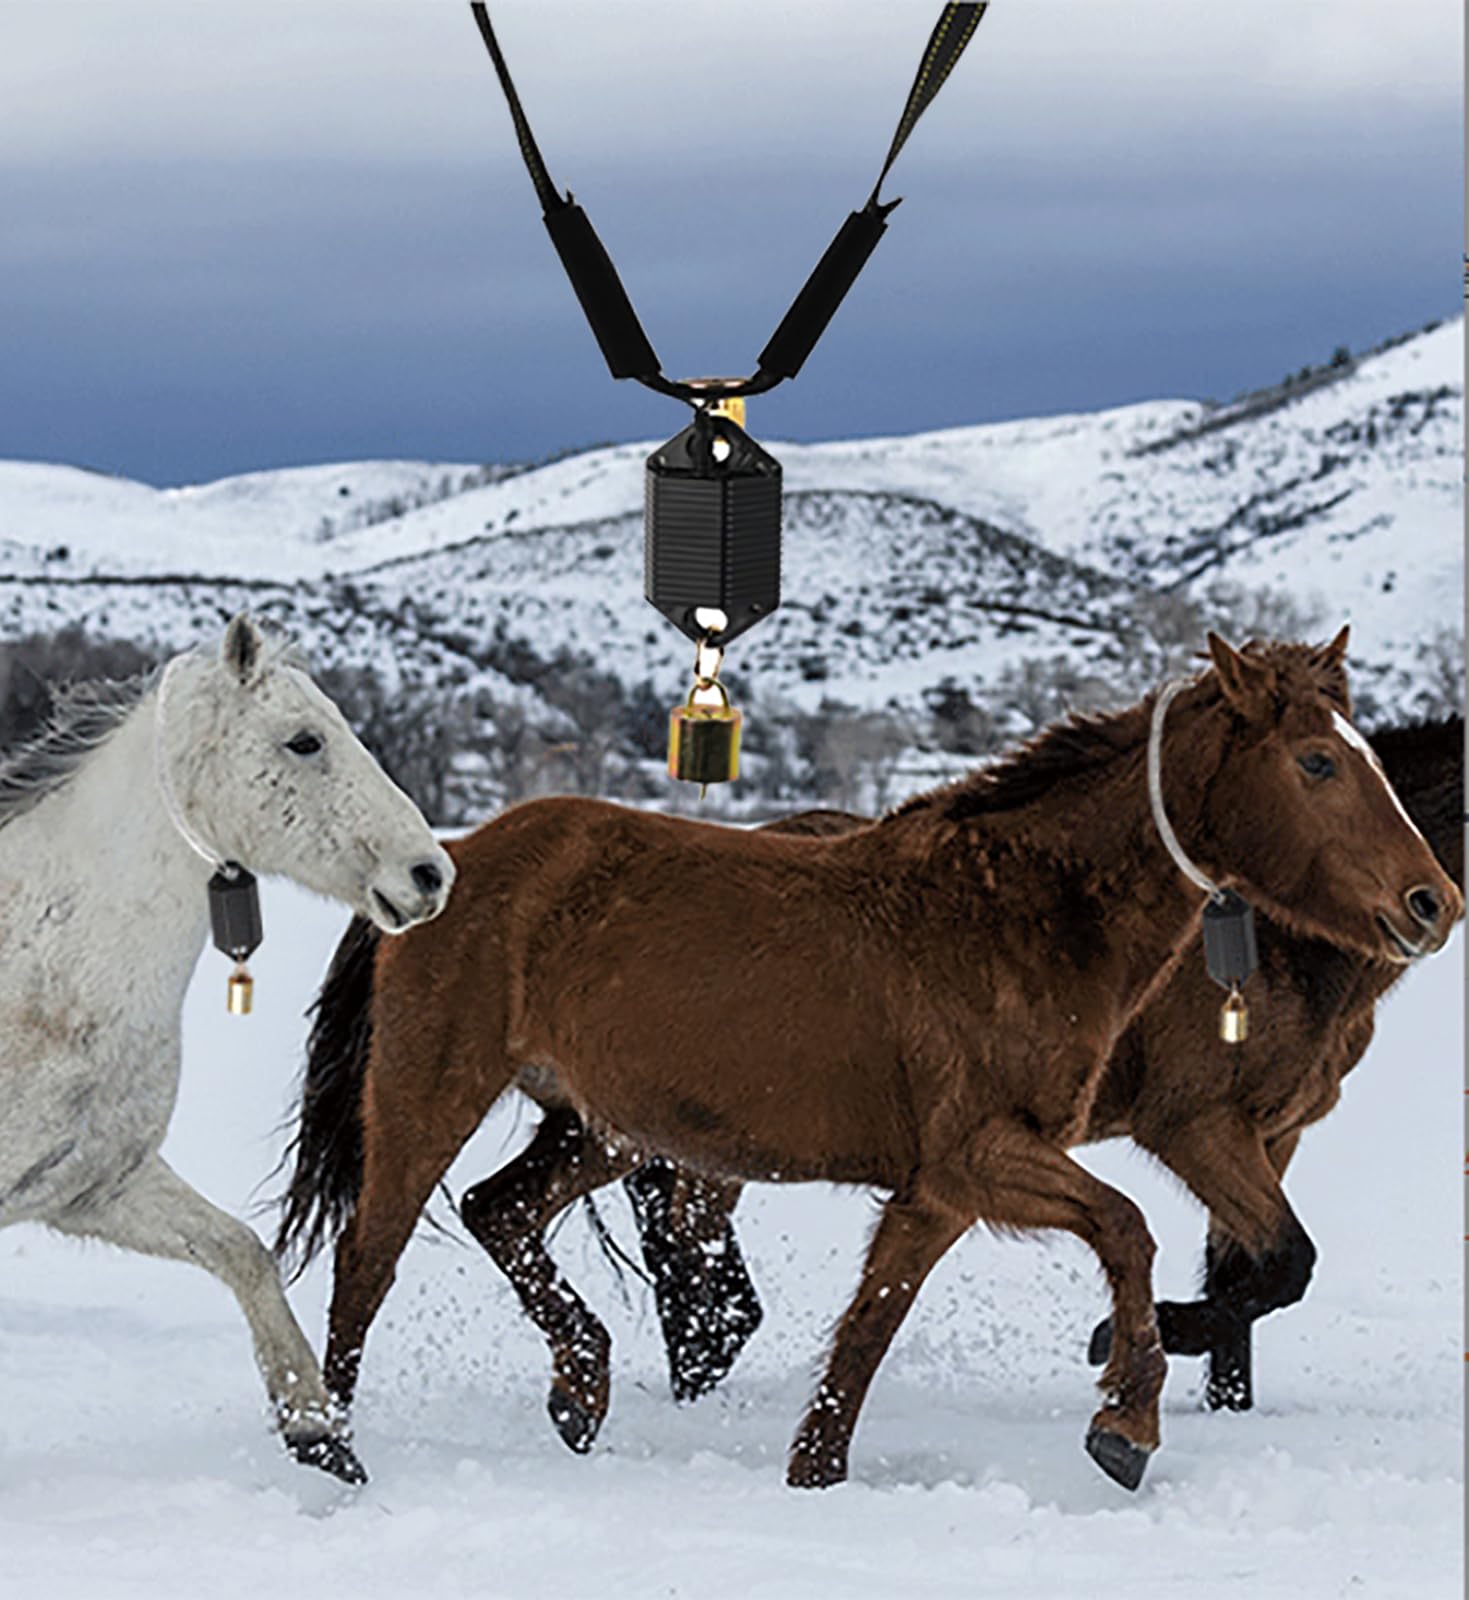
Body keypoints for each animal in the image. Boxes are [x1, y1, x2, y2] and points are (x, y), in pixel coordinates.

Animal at [276, 632, 1460, 1492]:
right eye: (1315, 761)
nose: (1429, 903)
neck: (1013, 916)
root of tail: (442, 862)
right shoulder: (1002, 1152)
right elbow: (1130, 1231)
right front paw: (1122, 1418)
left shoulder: (942, 1187)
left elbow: (864, 1340)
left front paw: (817, 1479)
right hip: (433, 1093)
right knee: (367, 1263)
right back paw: (330, 1447)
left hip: (607, 1126)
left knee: (503, 1211)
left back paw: (582, 1386)